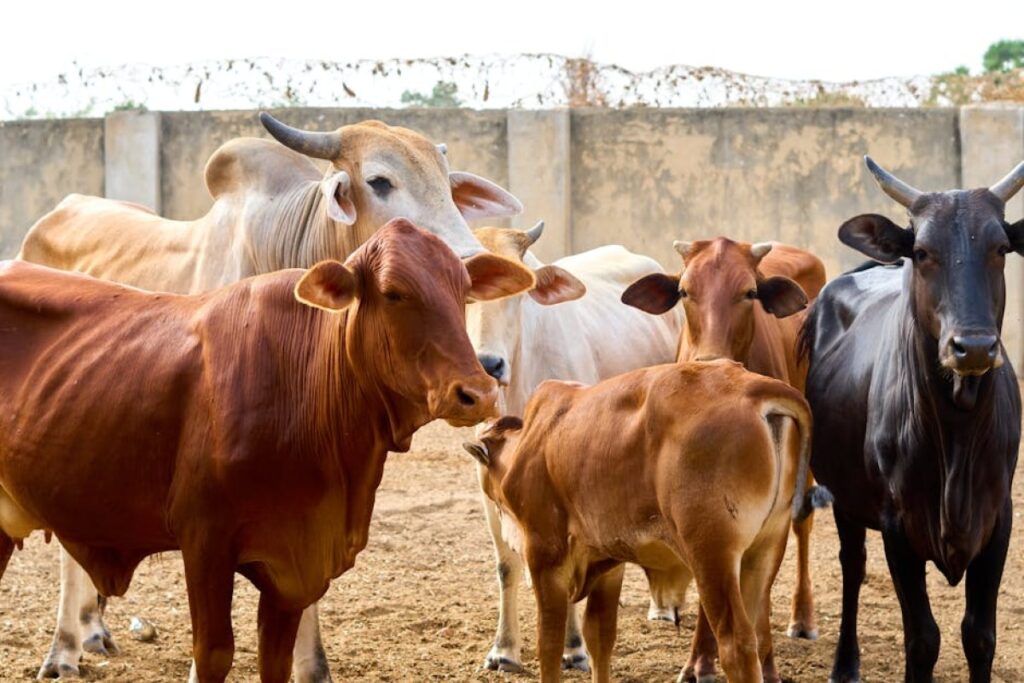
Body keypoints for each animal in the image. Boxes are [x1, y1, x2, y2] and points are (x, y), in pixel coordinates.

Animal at [17, 113, 525, 681]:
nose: (469, 262)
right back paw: (63, 649)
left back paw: (93, 628)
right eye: (379, 181)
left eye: (447, 183)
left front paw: (312, 665)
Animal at [463, 359, 822, 683]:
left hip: (712, 555)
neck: (535, 441)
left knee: (737, 645)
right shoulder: (608, 564)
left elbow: (548, 645)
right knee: (758, 636)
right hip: (764, 550)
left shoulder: (545, 559)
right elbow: (600, 638)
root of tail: (751, 390)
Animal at [464, 222, 683, 672]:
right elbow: (506, 566)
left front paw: (574, 647)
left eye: (519, 292)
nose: (488, 365)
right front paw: (503, 649)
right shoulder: (487, 478)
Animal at [621, 237, 827, 680]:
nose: (709, 362)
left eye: (749, 293)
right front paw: (699, 660)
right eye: (684, 291)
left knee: (803, 524)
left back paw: (802, 618)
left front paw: (765, 662)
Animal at [801, 156, 1024, 682]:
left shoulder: (998, 519)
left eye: (1001, 248)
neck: (958, 427)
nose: (973, 347)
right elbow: (922, 640)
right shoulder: (898, 526)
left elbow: (979, 636)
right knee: (853, 564)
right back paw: (845, 664)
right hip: (844, 496)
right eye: (922, 252)